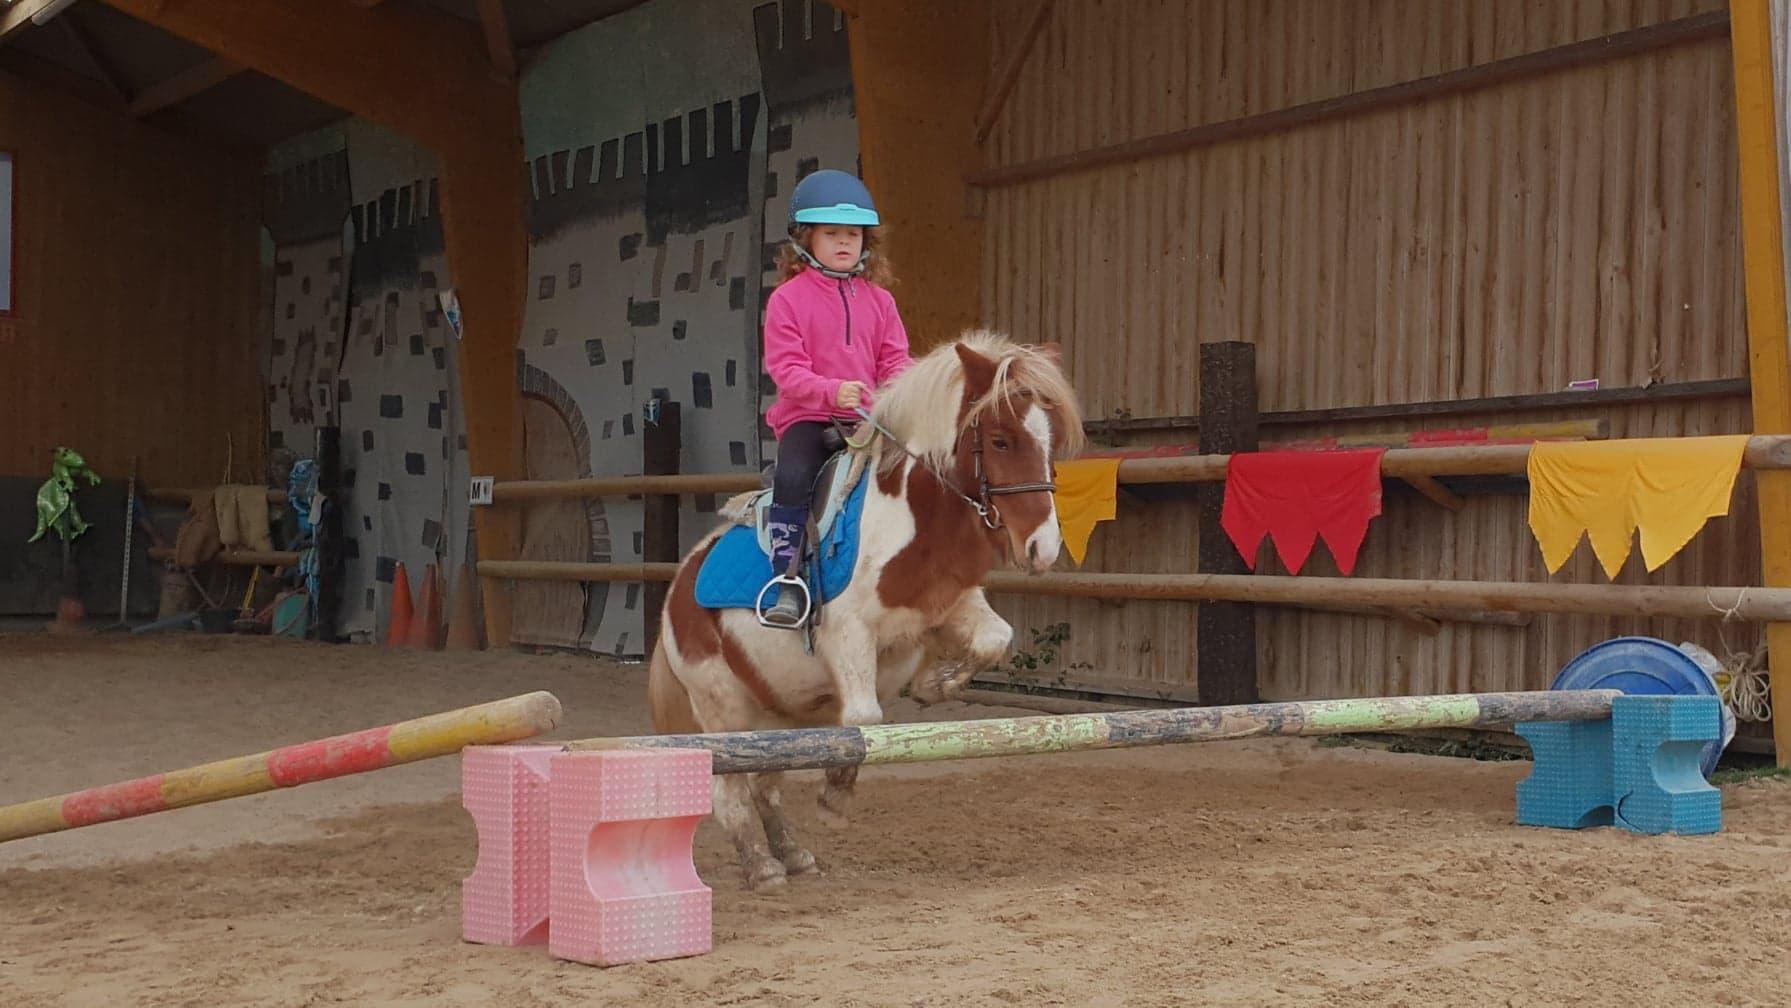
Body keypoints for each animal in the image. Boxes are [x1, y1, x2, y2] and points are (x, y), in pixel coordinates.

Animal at [651, 333, 1081, 891]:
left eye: (1052, 441)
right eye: (1001, 440)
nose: (1043, 550)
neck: (912, 518)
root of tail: (678, 590)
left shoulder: (950, 607)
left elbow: (995, 639)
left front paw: (934, 686)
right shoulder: (848, 633)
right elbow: (863, 721)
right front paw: (835, 794)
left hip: (778, 713)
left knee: (766, 784)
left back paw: (792, 854)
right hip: (723, 708)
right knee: (731, 792)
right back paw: (762, 867)